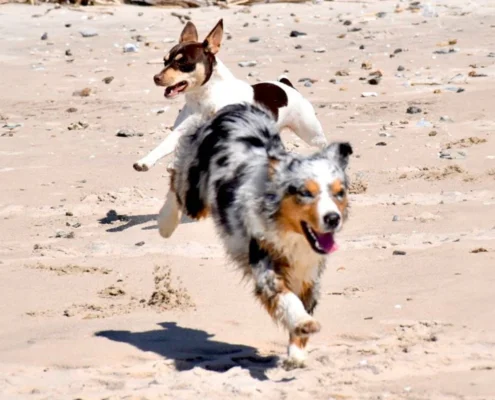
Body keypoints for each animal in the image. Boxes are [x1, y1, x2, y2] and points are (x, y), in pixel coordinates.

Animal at [134, 18, 330, 174]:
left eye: (183, 63)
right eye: (165, 61)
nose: (156, 78)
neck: (205, 99)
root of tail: (286, 85)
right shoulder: (182, 131)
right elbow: (165, 145)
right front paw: (147, 161)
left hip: (310, 132)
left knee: (323, 143)